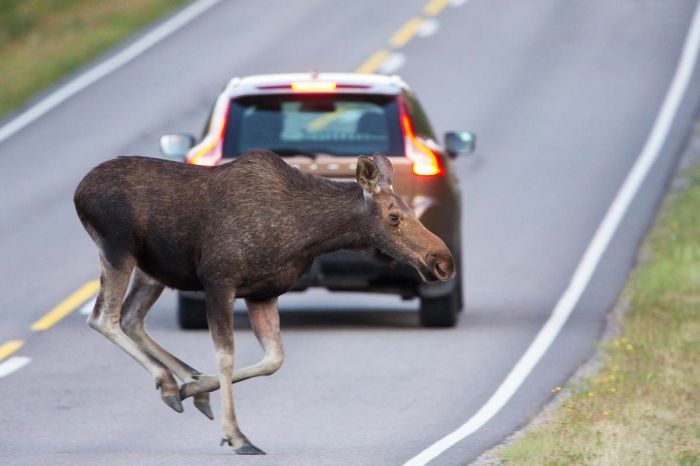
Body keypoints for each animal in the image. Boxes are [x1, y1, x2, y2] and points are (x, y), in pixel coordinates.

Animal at [74, 150, 455, 455]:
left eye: (413, 210)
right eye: (394, 217)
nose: (443, 261)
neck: (306, 234)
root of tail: (80, 191)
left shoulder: (263, 293)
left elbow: (273, 359)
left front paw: (197, 387)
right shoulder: (218, 281)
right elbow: (226, 357)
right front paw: (237, 436)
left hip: (153, 270)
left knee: (132, 318)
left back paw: (185, 383)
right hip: (118, 250)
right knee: (103, 317)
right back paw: (169, 382)